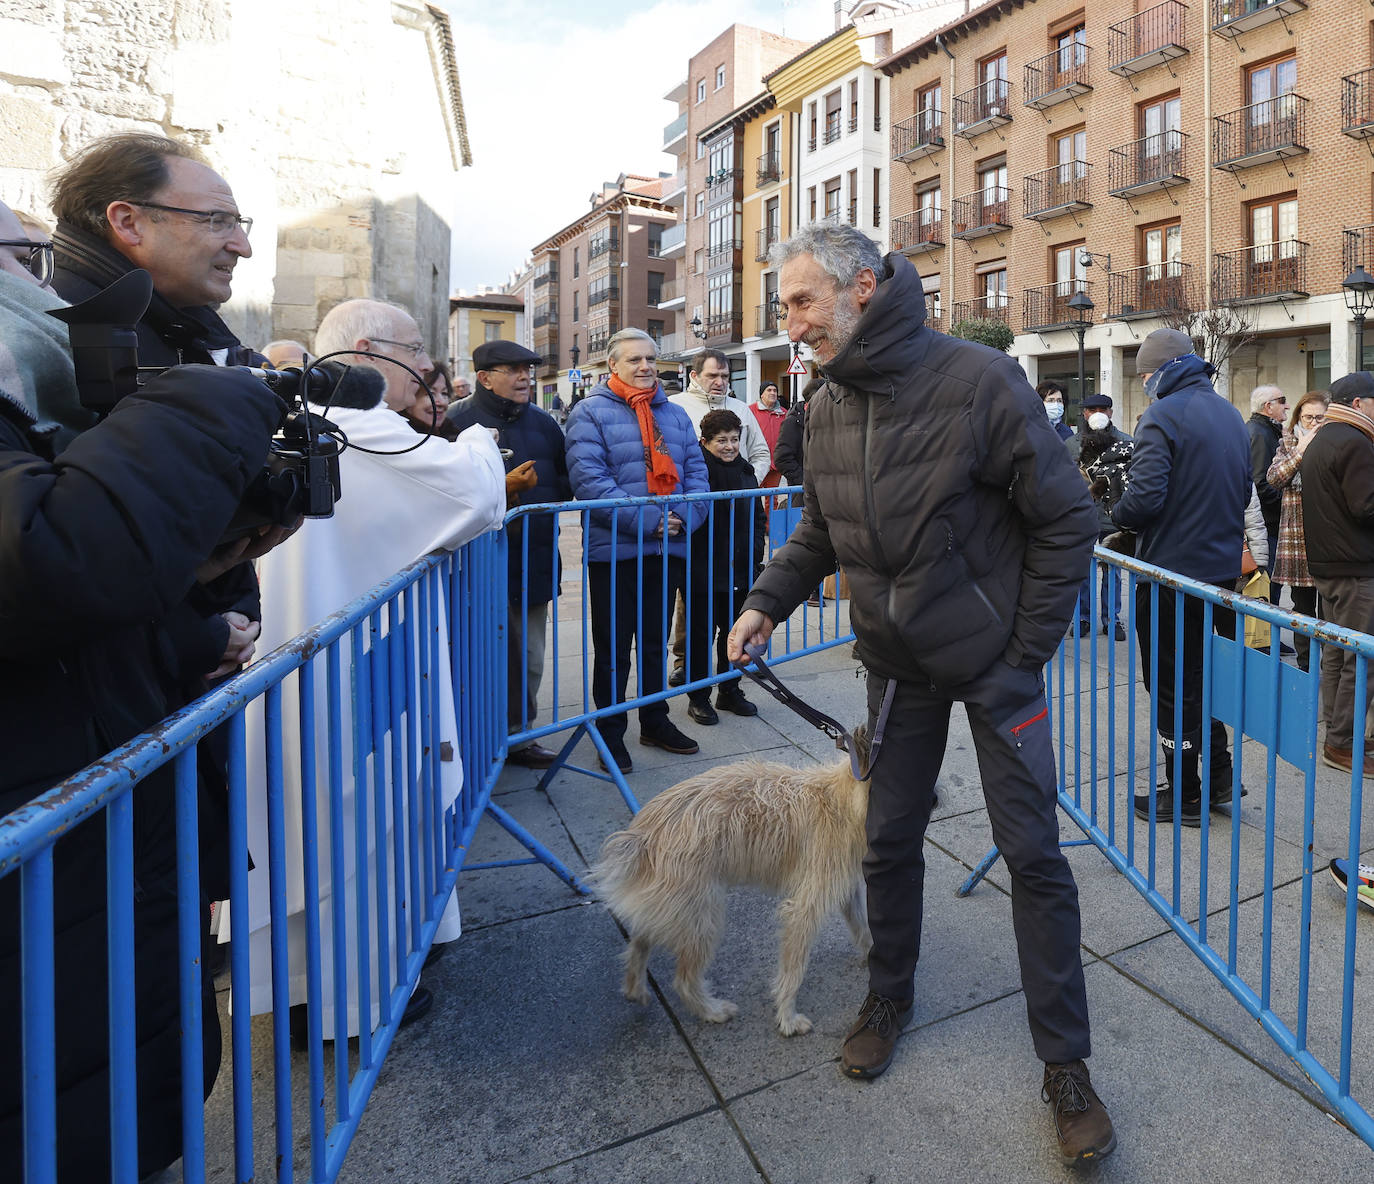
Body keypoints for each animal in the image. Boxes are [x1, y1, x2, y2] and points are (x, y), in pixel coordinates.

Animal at [590, 730, 868, 1038]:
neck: (845, 802)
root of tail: (644, 835)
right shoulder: (804, 908)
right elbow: (793, 969)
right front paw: (787, 1018)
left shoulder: (847, 889)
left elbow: (863, 928)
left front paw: (873, 958)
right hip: (702, 917)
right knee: (684, 980)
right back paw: (712, 1011)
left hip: (672, 906)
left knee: (640, 941)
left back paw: (635, 988)